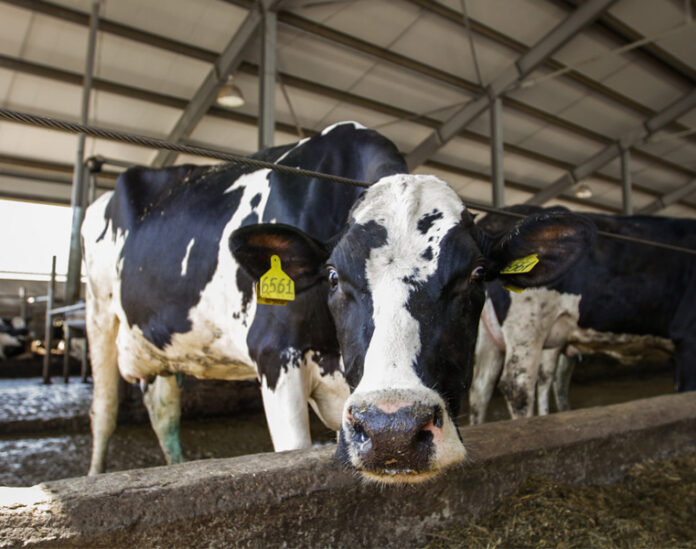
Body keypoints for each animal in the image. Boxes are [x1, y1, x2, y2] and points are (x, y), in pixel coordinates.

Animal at [82, 123, 594, 483]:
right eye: (332, 275)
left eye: (477, 275)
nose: (393, 432)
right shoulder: (275, 355)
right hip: (97, 315)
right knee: (103, 413)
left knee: (163, 409)